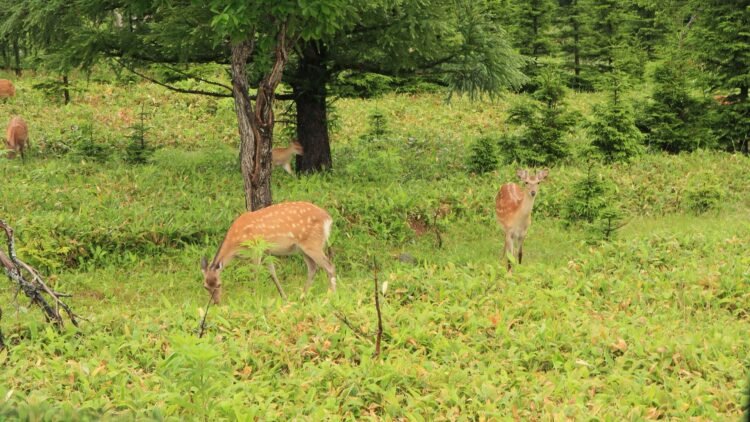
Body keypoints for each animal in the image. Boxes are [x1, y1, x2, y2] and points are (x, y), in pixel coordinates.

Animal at [203, 202, 338, 304]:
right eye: (205, 287)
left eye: (219, 284)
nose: (216, 302)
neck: (235, 243)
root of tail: (328, 219)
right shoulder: (266, 251)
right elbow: (272, 273)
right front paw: (284, 297)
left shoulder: (256, 248)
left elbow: (255, 273)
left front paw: (254, 297)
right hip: (303, 248)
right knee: (313, 268)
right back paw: (302, 296)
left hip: (313, 243)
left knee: (329, 266)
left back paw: (330, 297)